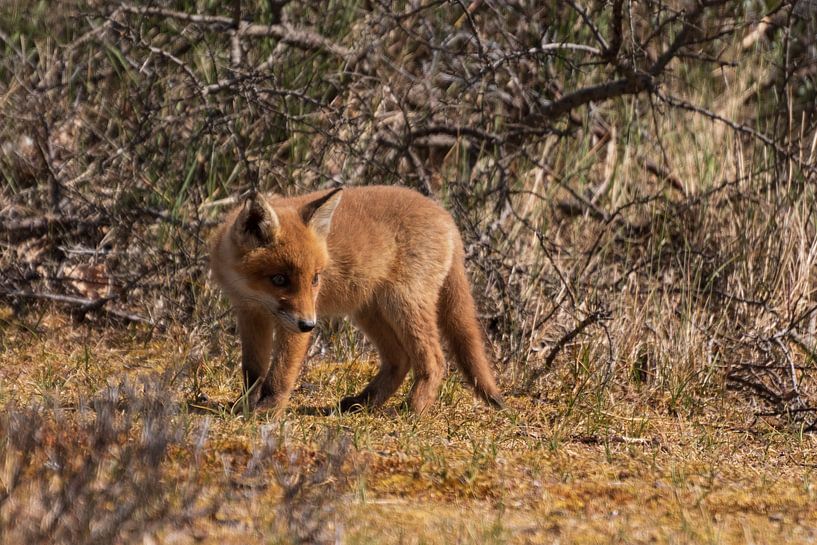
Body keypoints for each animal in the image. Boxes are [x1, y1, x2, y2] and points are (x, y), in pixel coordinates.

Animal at [209, 184, 504, 415]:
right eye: (279, 279)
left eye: (315, 279)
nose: (310, 325)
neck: (253, 293)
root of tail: (446, 216)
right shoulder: (249, 312)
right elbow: (253, 369)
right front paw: (244, 405)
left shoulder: (294, 320)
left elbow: (281, 371)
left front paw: (268, 409)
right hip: (369, 312)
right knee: (400, 360)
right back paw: (364, 402)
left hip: (403, 304)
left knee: (434, 359)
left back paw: (412, 410)